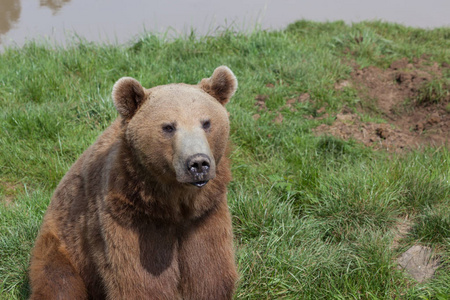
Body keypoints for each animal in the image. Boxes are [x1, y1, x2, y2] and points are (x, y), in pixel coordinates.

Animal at [28, 66, 239, 300]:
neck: (173, 204)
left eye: (206, 122)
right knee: (59, 283)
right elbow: (141, 281)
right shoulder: (130, 216)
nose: (198, 163)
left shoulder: (205, 214)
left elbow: (208, 272)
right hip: (64, 245)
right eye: (168, 127)